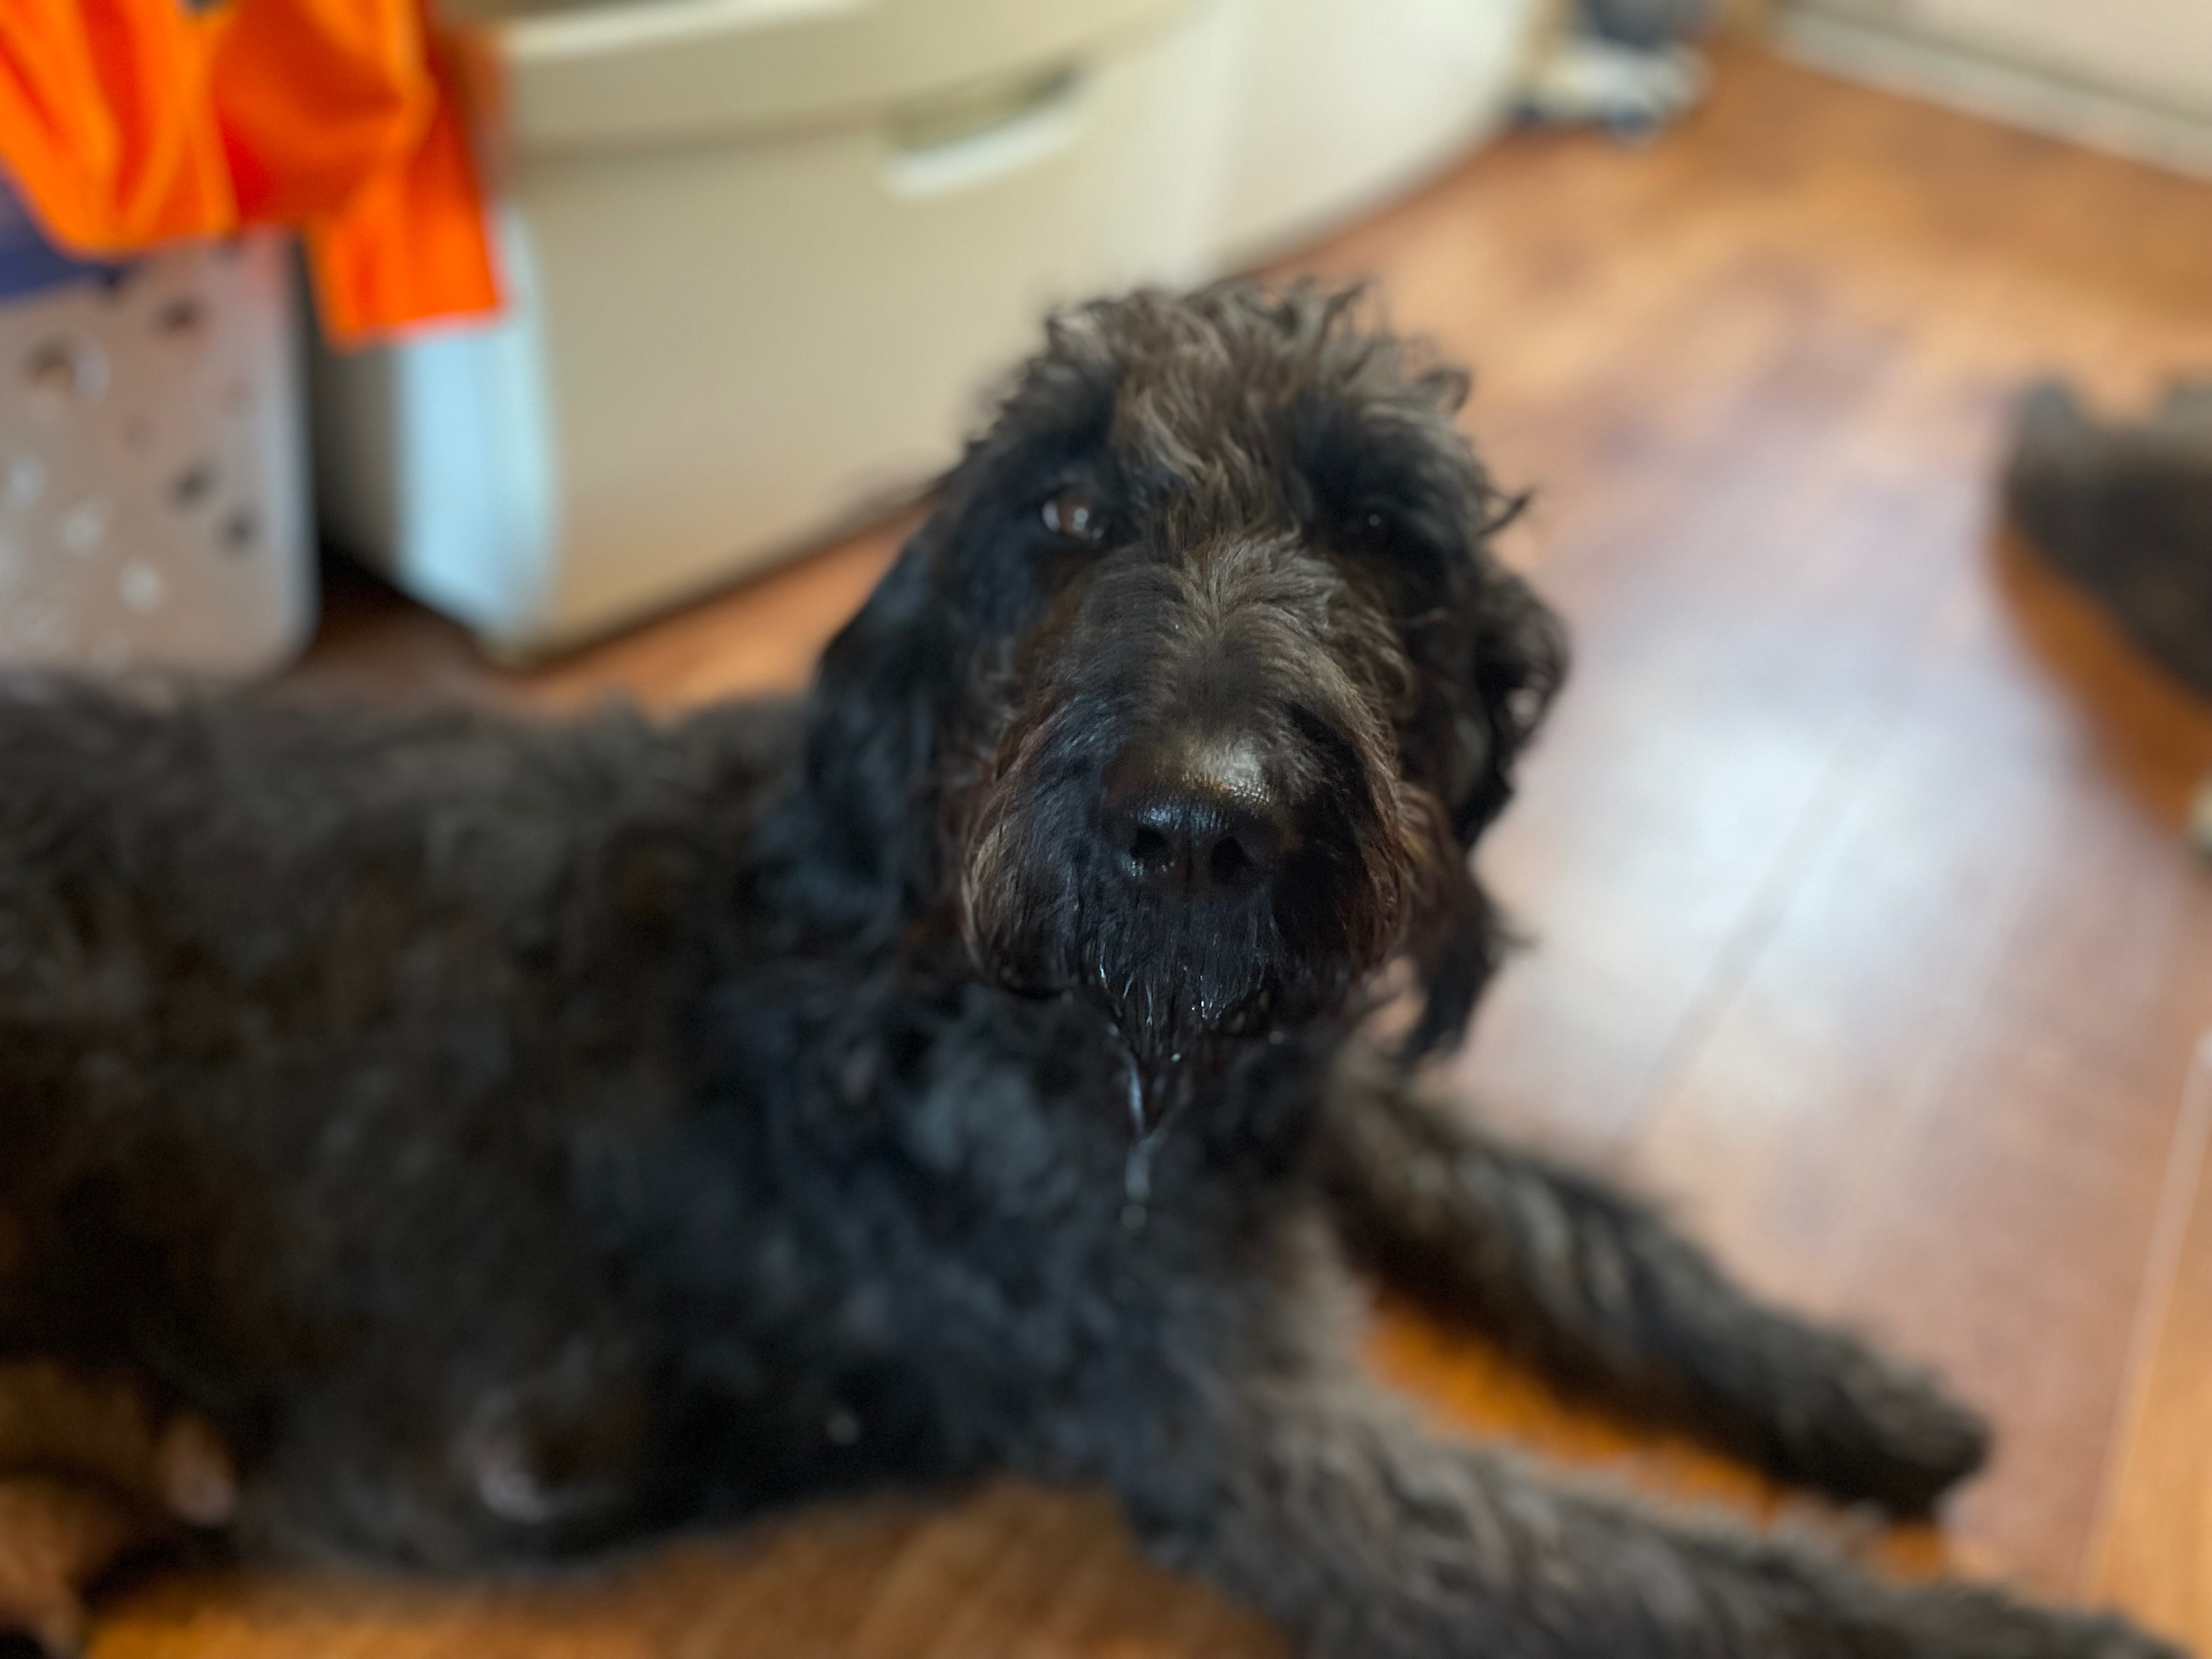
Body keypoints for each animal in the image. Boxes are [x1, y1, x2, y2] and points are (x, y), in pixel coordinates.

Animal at [0, 285, 2182, 1658]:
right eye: (1059, 506)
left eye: (1380, 529)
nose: (1201, 824)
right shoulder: (1278, 1450)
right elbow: (1689, 1578)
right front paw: (2033, 1625)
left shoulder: (1300, 1091)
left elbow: (1564, 1209)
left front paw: (1843, 1381)